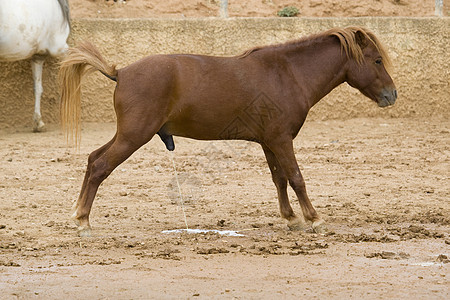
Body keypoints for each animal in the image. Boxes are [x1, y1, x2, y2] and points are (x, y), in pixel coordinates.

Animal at [59, 26, 398, 237]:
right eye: (377, 60)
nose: (392, 95)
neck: (286, 73)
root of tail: (122, 72)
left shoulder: (269, 142)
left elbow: (279, 179)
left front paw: (291, 218)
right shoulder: (281, 140)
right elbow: (296, 177)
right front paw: (314, 219)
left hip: (126, 135)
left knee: (92, 160)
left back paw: (79, 215)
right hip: (133, 137)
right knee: (100, 167)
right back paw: (84, 222)